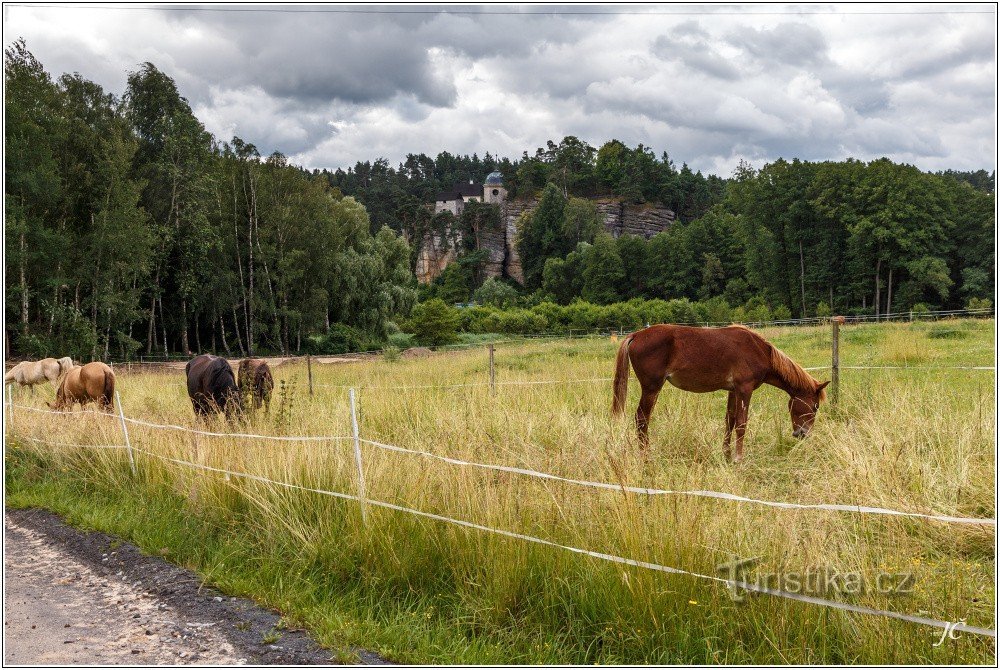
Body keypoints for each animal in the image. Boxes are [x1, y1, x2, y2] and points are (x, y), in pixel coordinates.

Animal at [608, 326, 828, 462]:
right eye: (815, 406)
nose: (802, 434)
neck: (759, 351)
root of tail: (637, 335)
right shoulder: (745, 389)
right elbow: (741, 424)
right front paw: (739, 458)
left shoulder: (733, 391)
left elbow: (729, 421)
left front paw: (727, 455)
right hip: (651, 388)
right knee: (641, 419)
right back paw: (646, 457)